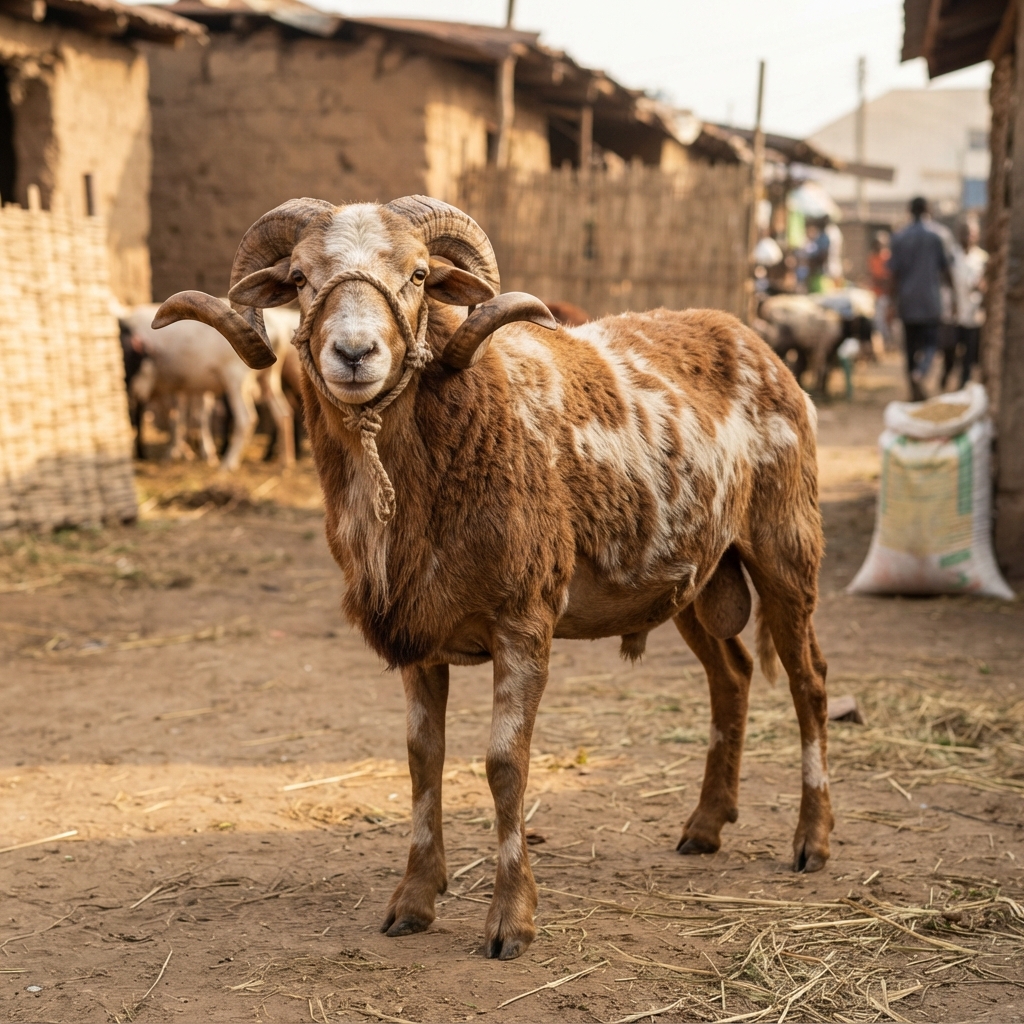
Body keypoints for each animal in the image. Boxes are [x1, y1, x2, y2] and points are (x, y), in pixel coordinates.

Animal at [154, 196, 832, 961]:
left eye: (420, 275)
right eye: (299, 278)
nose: (354, 353)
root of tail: (746, 332)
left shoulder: (524, 621)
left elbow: (504, 765)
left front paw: (511, 920)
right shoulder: (418, 634)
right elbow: (422, 760)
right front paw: (414, 902)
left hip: (785, 545)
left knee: (809, 682)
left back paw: (811, 841)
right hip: (694, 575)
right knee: (734, 676)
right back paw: (706, 826)